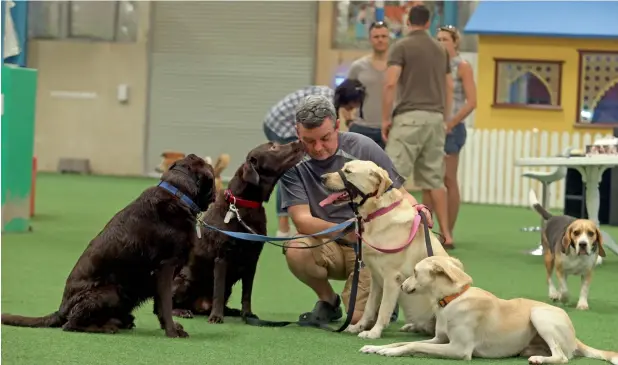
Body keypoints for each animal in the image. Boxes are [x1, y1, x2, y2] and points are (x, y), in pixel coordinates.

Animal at [1, 154, 217, 336]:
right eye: (213, 174)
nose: (217, 193)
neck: (179, 193)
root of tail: (61, 310)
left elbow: (160, 305)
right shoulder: (166, 267)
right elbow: (165, 304)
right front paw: (172, 331)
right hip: (112, 291)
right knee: (70, 325)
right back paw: (107, 327)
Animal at [171, 139, 304, 322]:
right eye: (273, 147)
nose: (299, 141)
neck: (242, 205)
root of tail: (198, 306)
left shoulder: (252, 261)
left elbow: (247, 293)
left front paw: (247, 314)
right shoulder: (222, 258)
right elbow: (218, 291)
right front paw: (216, 317)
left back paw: (230, 311)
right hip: (184, 279)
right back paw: (183, 311)